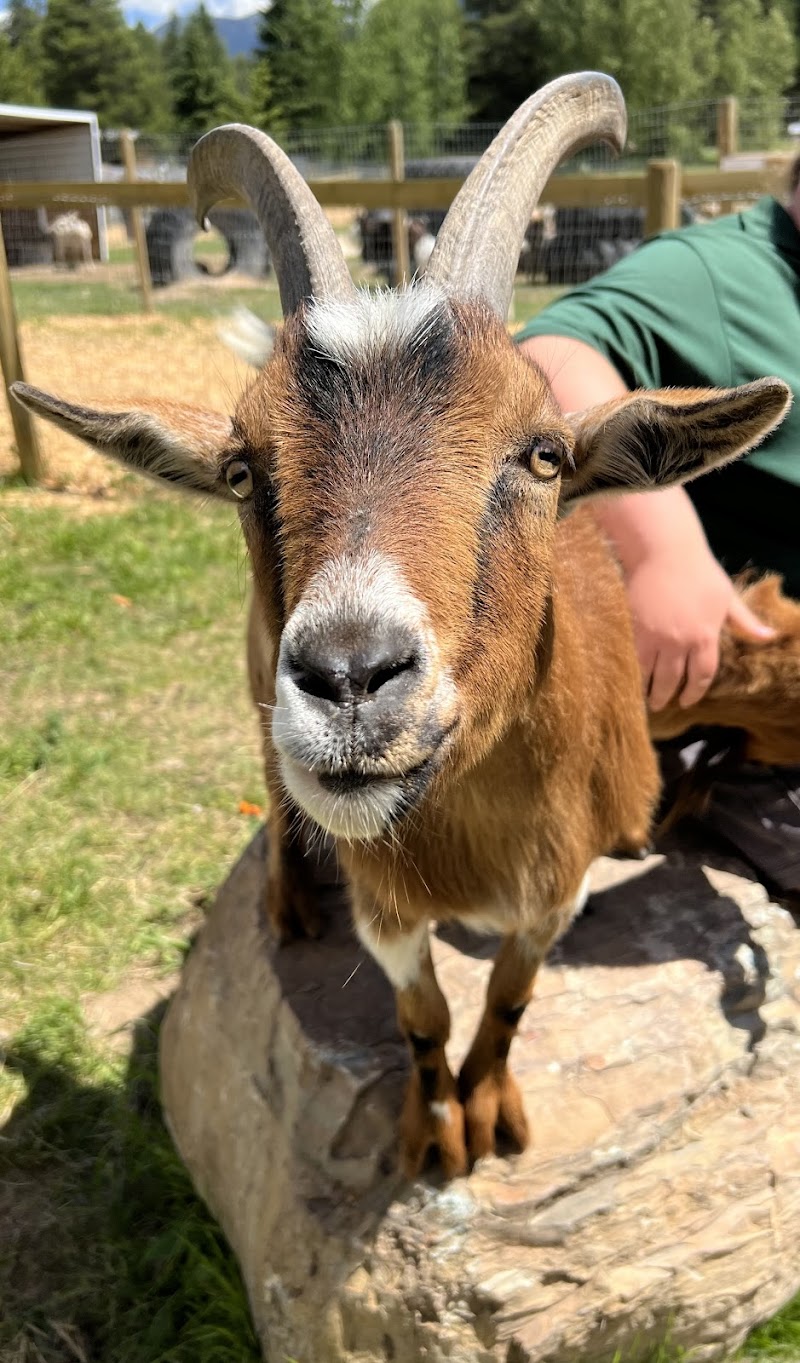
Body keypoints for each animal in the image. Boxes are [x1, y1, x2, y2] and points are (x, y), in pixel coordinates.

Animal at [13, 73, 794, 1180]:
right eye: (242, 467)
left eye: (544, 453)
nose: (349, 679)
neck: (473, 827)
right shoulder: (383, 897)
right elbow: (423, 1015)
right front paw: (435, 1134)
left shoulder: (556, 887)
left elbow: (507, 999)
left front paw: (495, 1111)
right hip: (254, 682)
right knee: (269, 780)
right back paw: (288, 900)